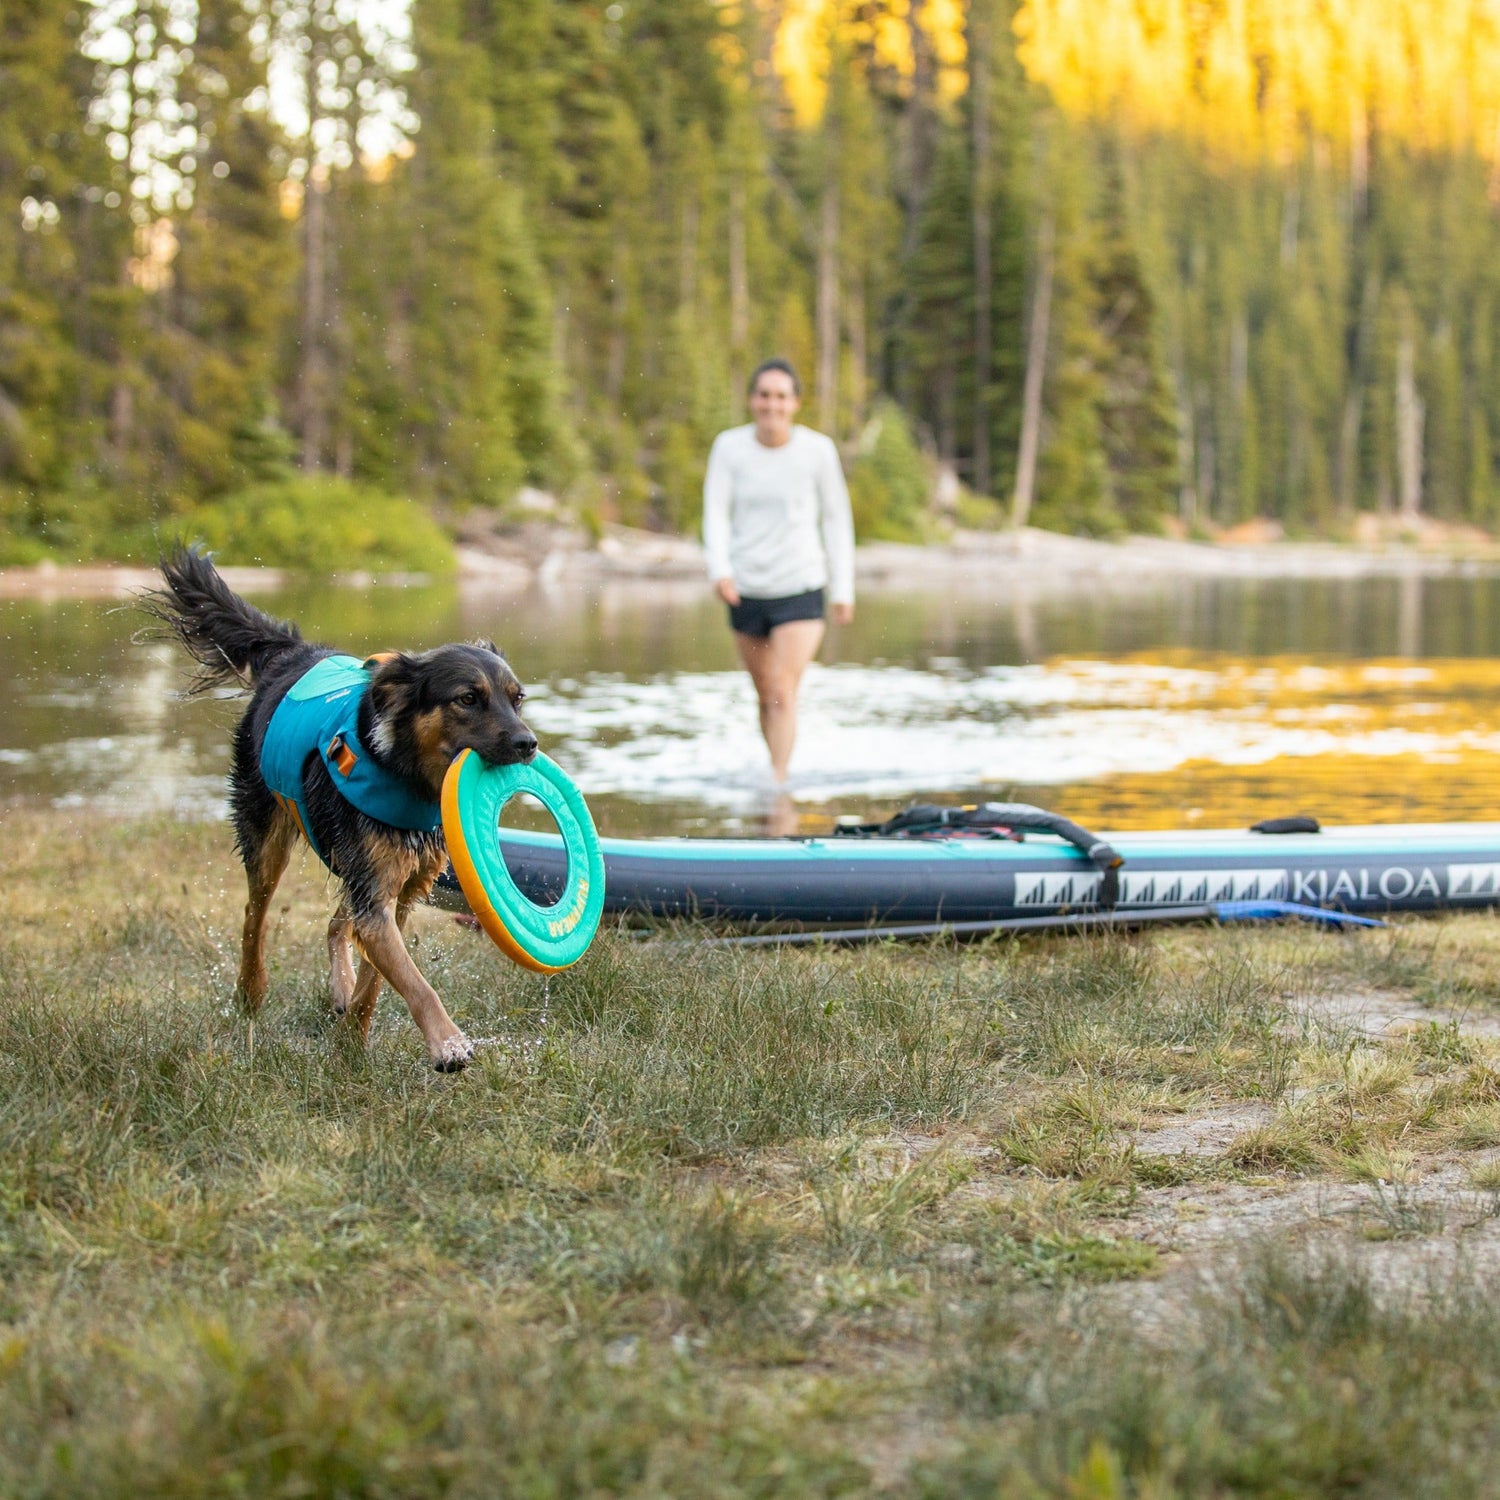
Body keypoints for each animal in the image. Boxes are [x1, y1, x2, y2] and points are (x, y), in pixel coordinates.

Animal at [149, 546, 537, 1074]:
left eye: (517, 700)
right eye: (467, 698)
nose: (528, 743)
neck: (407, 773)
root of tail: (294, 652)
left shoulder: (401, 892)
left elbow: (380, 978)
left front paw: (353, 1037)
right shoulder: (375, 894)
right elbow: (415, 982)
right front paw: (447, 1042)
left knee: (336, 923)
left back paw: (339, 988)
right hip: (267, 836)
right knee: (255, 914)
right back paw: (250, 992)